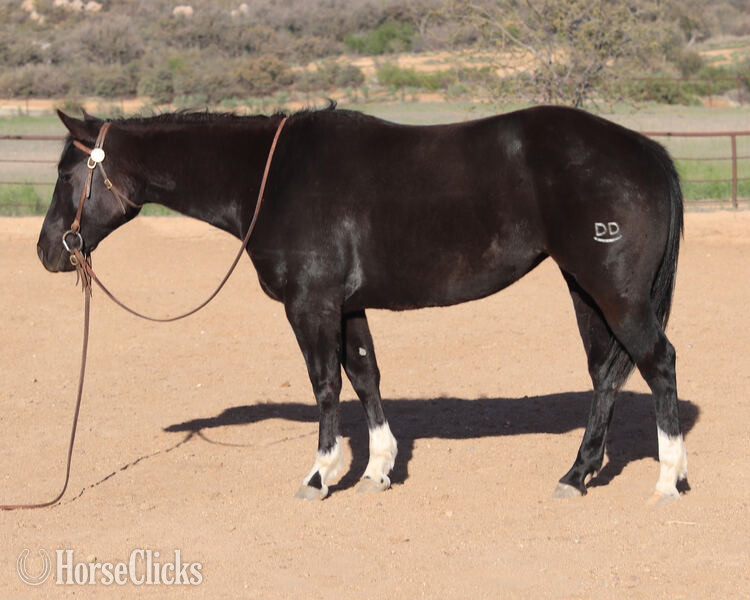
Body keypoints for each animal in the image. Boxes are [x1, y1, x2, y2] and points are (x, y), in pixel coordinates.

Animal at [37, 104, 687, 504]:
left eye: (67, 174)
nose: (47, 251)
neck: (272, 177)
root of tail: (643, 150)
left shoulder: (311, 305)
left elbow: (325, 383)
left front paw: (320, 475)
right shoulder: (347, 306)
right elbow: (365, 377)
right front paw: (377, 469)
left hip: (614, 292)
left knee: (657, 364)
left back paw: (667, 479)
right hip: (585, 290)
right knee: (606, 373)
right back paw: (578, 474)